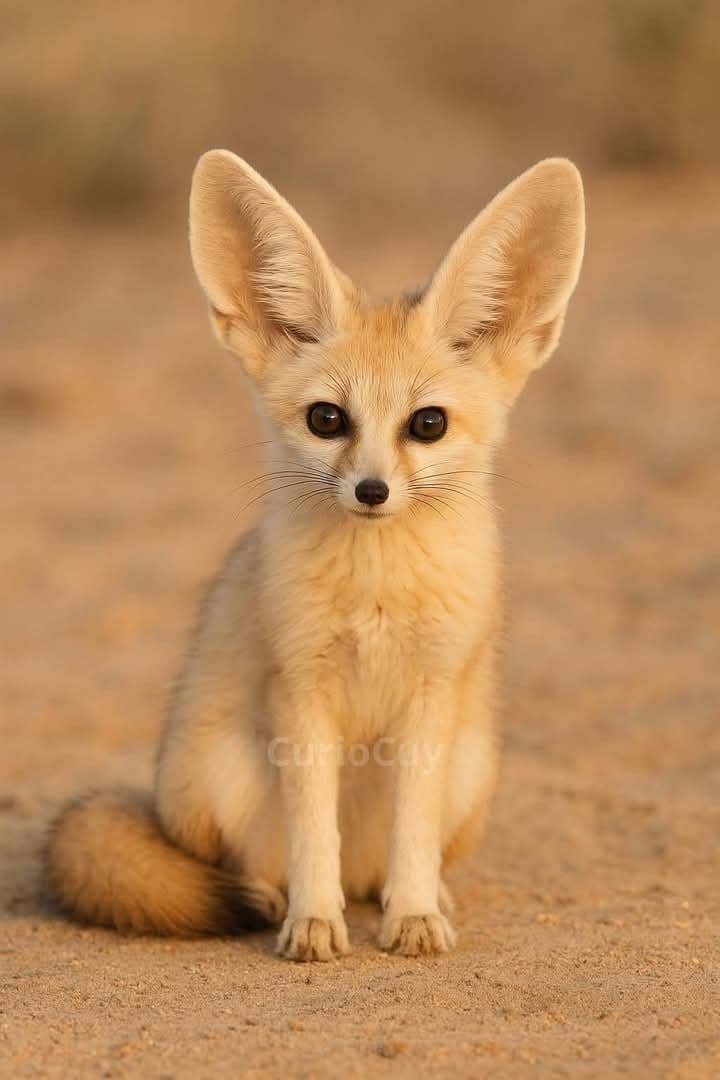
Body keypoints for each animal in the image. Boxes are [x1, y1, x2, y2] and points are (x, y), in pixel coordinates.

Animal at [46, 151, 585, 960]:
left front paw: (414, 914)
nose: (372, 491)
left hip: (470, 771)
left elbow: (412, 836)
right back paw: (277, 899)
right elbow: (310, 836)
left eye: (428, 424)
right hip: (223, 769)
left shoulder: (431, 692)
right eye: (327, 420)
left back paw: (416, 896)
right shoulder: (302, 689)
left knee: (386, 865)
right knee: (252, 863)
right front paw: (314, 921)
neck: (377, 592)